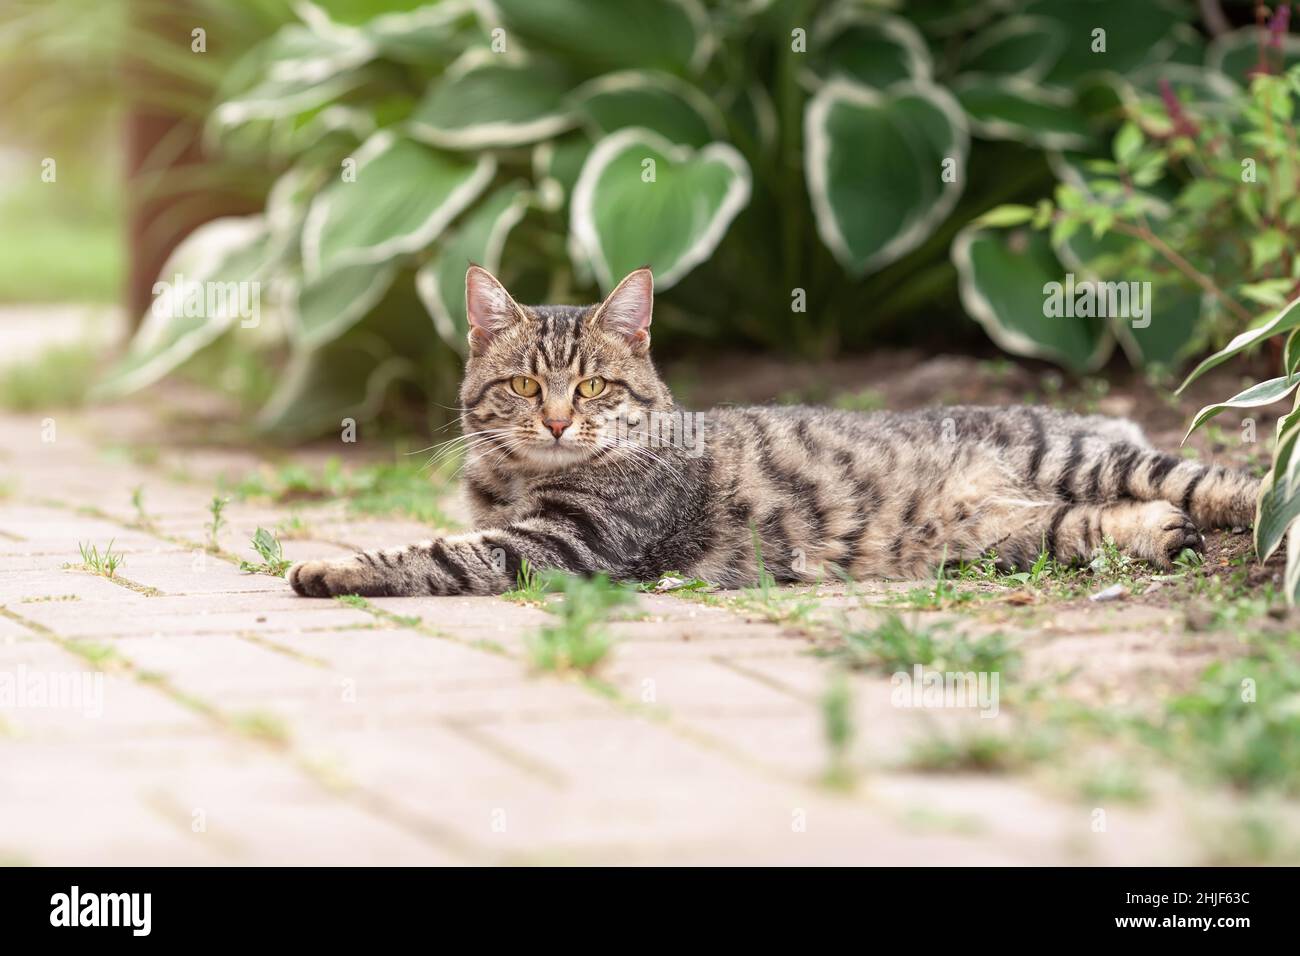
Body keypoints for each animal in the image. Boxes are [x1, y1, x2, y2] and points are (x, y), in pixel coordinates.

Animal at [287, 265, 1258, 598]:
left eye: (593, 385)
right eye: (526, 385)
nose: (559, 421)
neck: (520, 478)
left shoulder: (569, 543)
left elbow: (437, 554)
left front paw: (332, 567)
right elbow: (446, 541)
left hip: (1080, 459)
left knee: (1213, 480)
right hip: (1007, 535)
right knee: (1093, 526)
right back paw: (1160, 537)